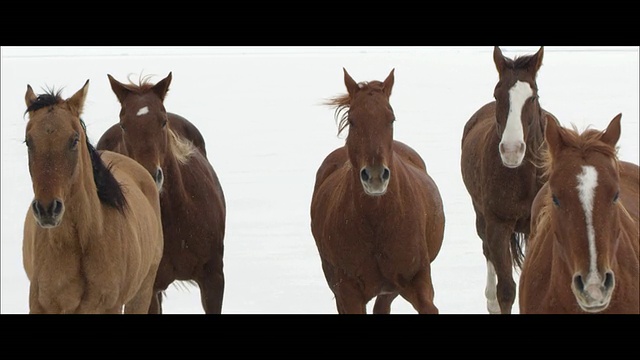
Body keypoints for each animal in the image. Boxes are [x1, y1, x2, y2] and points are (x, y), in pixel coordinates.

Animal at [21, 80, 164, 314]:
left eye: (74, 140)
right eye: (28, 141)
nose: (47, 209)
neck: (80, 243)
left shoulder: (111, 307)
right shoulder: (40, 306)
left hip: (142, 292)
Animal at [310, 69, 444, 314]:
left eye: (391, 119)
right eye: (352, 120)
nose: (374, 176)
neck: (377, 222)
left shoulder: (417, 281)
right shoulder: (348, 293)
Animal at [460, 46, 560, 314]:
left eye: (533, 97)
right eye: (497, 94)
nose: (512, 150)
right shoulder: (497, 224)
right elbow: (506, 290)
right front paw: (497, 300)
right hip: (481, 215)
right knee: (487, 251)